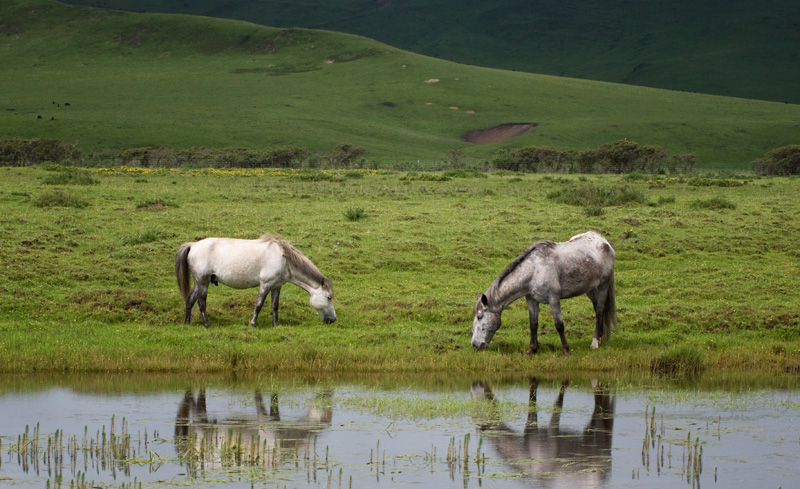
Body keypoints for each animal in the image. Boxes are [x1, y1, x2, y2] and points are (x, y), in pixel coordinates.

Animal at [173, 234, 336, 328]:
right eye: (328, 297)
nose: (333, 319)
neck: (284, 259)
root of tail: (193, 245)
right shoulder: (266, 284)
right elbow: (259, 304)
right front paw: (253, 323)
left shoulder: (277, 286)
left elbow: (275, 306)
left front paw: (276, 324)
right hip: (203, 282)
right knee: (201, 302)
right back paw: (207, 324)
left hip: (198, 282)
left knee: (190, 300)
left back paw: (187, 323)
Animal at [472, 231, 616, 356]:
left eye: (480, 317)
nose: (474, 345)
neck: (535, 270)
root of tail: (604, 241)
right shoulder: (531, 299)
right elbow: (533, 324)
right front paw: (532, 349)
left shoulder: (553, 299)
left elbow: (559, 325)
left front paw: (565, 351)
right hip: (591, 290)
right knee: (598, 309)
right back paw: (600, 338)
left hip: (602, 287)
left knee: (599, 311)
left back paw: (595, 343)